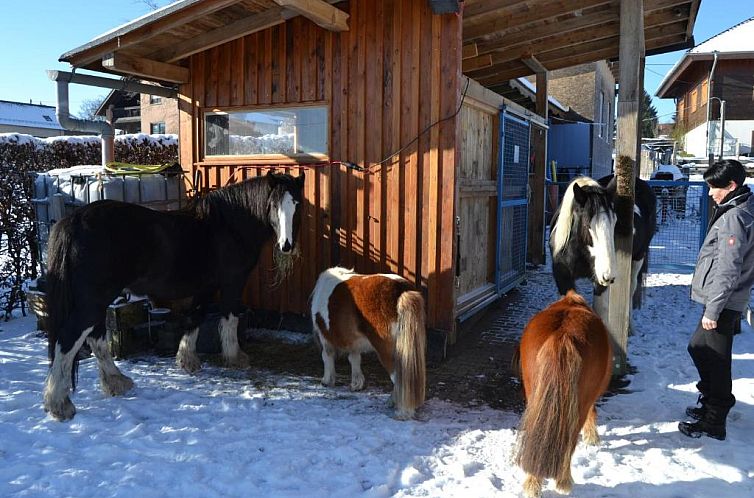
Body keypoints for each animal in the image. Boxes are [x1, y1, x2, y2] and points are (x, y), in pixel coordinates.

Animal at [42, 171, 302, 420]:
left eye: (297, 204)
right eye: (274, 205)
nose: (286, 245)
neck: (228, 226)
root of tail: (73, 220)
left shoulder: (206, 288)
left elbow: (195, 317)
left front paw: (187, 360)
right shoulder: (232, 283)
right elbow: (229, 318)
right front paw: (235, 357)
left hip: (96, 300)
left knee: (95, 338)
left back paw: (116, 382)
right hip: (94, 299)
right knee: (69, 339)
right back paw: (59, 404)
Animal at [310, 266, 426, 418]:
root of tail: (402, 291)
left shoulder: (325, 337)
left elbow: (327, 356)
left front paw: (327, 381)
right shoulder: (353, 342)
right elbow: (354, 358)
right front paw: (356, 384)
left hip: (388, 352)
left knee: (399, 378)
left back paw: (403, 411)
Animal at [516, 290, 608, 496]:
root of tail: (562, 335)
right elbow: (593, 411)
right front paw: (592, 437)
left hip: (535, 397)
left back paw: (533, 484)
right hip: (578, 406)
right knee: (570, 438)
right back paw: (564, 482)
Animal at [548, 175, 656, 308]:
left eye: (614, 222)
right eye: (587, 224)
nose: (608, 274)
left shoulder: (600, 284)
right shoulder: (562, 278)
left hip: (638, 257)